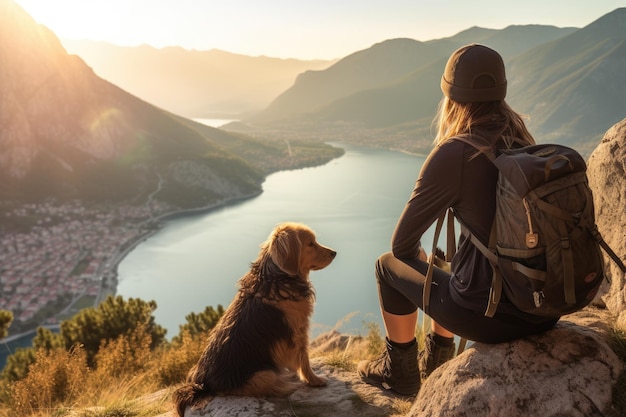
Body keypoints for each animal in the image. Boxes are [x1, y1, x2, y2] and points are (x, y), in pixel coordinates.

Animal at [171, 223, 336, 414]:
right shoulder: (299, 331)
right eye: (310, 243)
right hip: (265, 374)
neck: (277, 277)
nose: (334, 253)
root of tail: (204, 386)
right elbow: (304, 359)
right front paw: (314, 379)